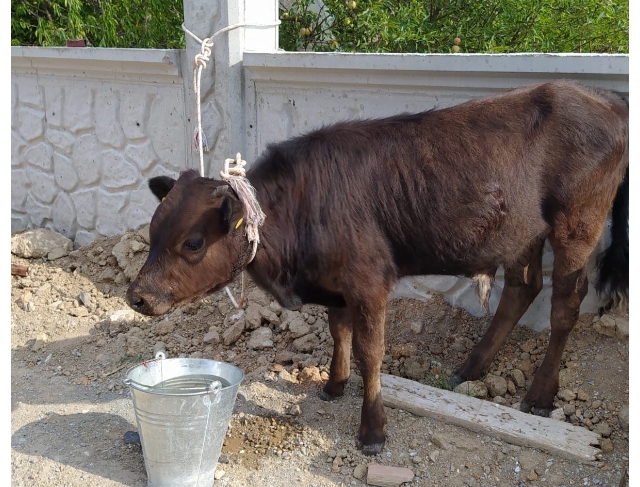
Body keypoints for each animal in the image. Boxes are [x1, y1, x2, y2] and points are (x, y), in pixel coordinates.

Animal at [127, 81, 628, 458]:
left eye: (192, 242)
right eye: (153, 229)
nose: (137, 296)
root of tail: (601, 96)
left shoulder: (368, 283)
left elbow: (371, 352)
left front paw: (372, 430)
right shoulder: (337, 284)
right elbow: (339, 332)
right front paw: (334, 384)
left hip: (577, 226)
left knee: (565, 304)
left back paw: (540, 395)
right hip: (522, 231)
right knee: (522, 289)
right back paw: (470, 368)